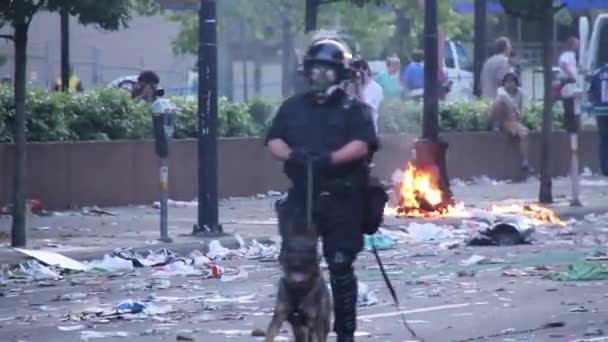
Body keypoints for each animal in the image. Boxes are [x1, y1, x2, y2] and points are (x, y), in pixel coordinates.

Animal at [266, 199, 332, 340]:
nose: (297, 264)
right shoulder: (280, 316)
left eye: (307, 252)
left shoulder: (313, 323)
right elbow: (270, 334)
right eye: (290, 251)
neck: (298, 289)